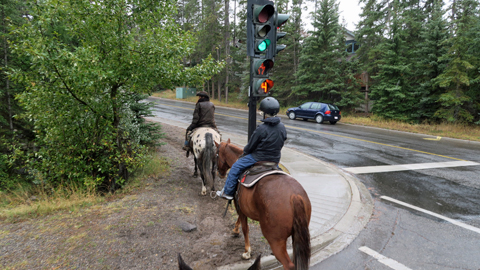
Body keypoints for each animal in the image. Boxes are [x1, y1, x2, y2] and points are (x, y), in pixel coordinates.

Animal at [217, 139, 314, 270]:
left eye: (216, 154)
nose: (220, 173)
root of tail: (295, 196)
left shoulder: (240, 207)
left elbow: (245, 228)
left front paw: (247, 251)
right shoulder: (242, 207)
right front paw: (235, 230)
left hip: (275, 240)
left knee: (288, 265)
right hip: (296, 237)